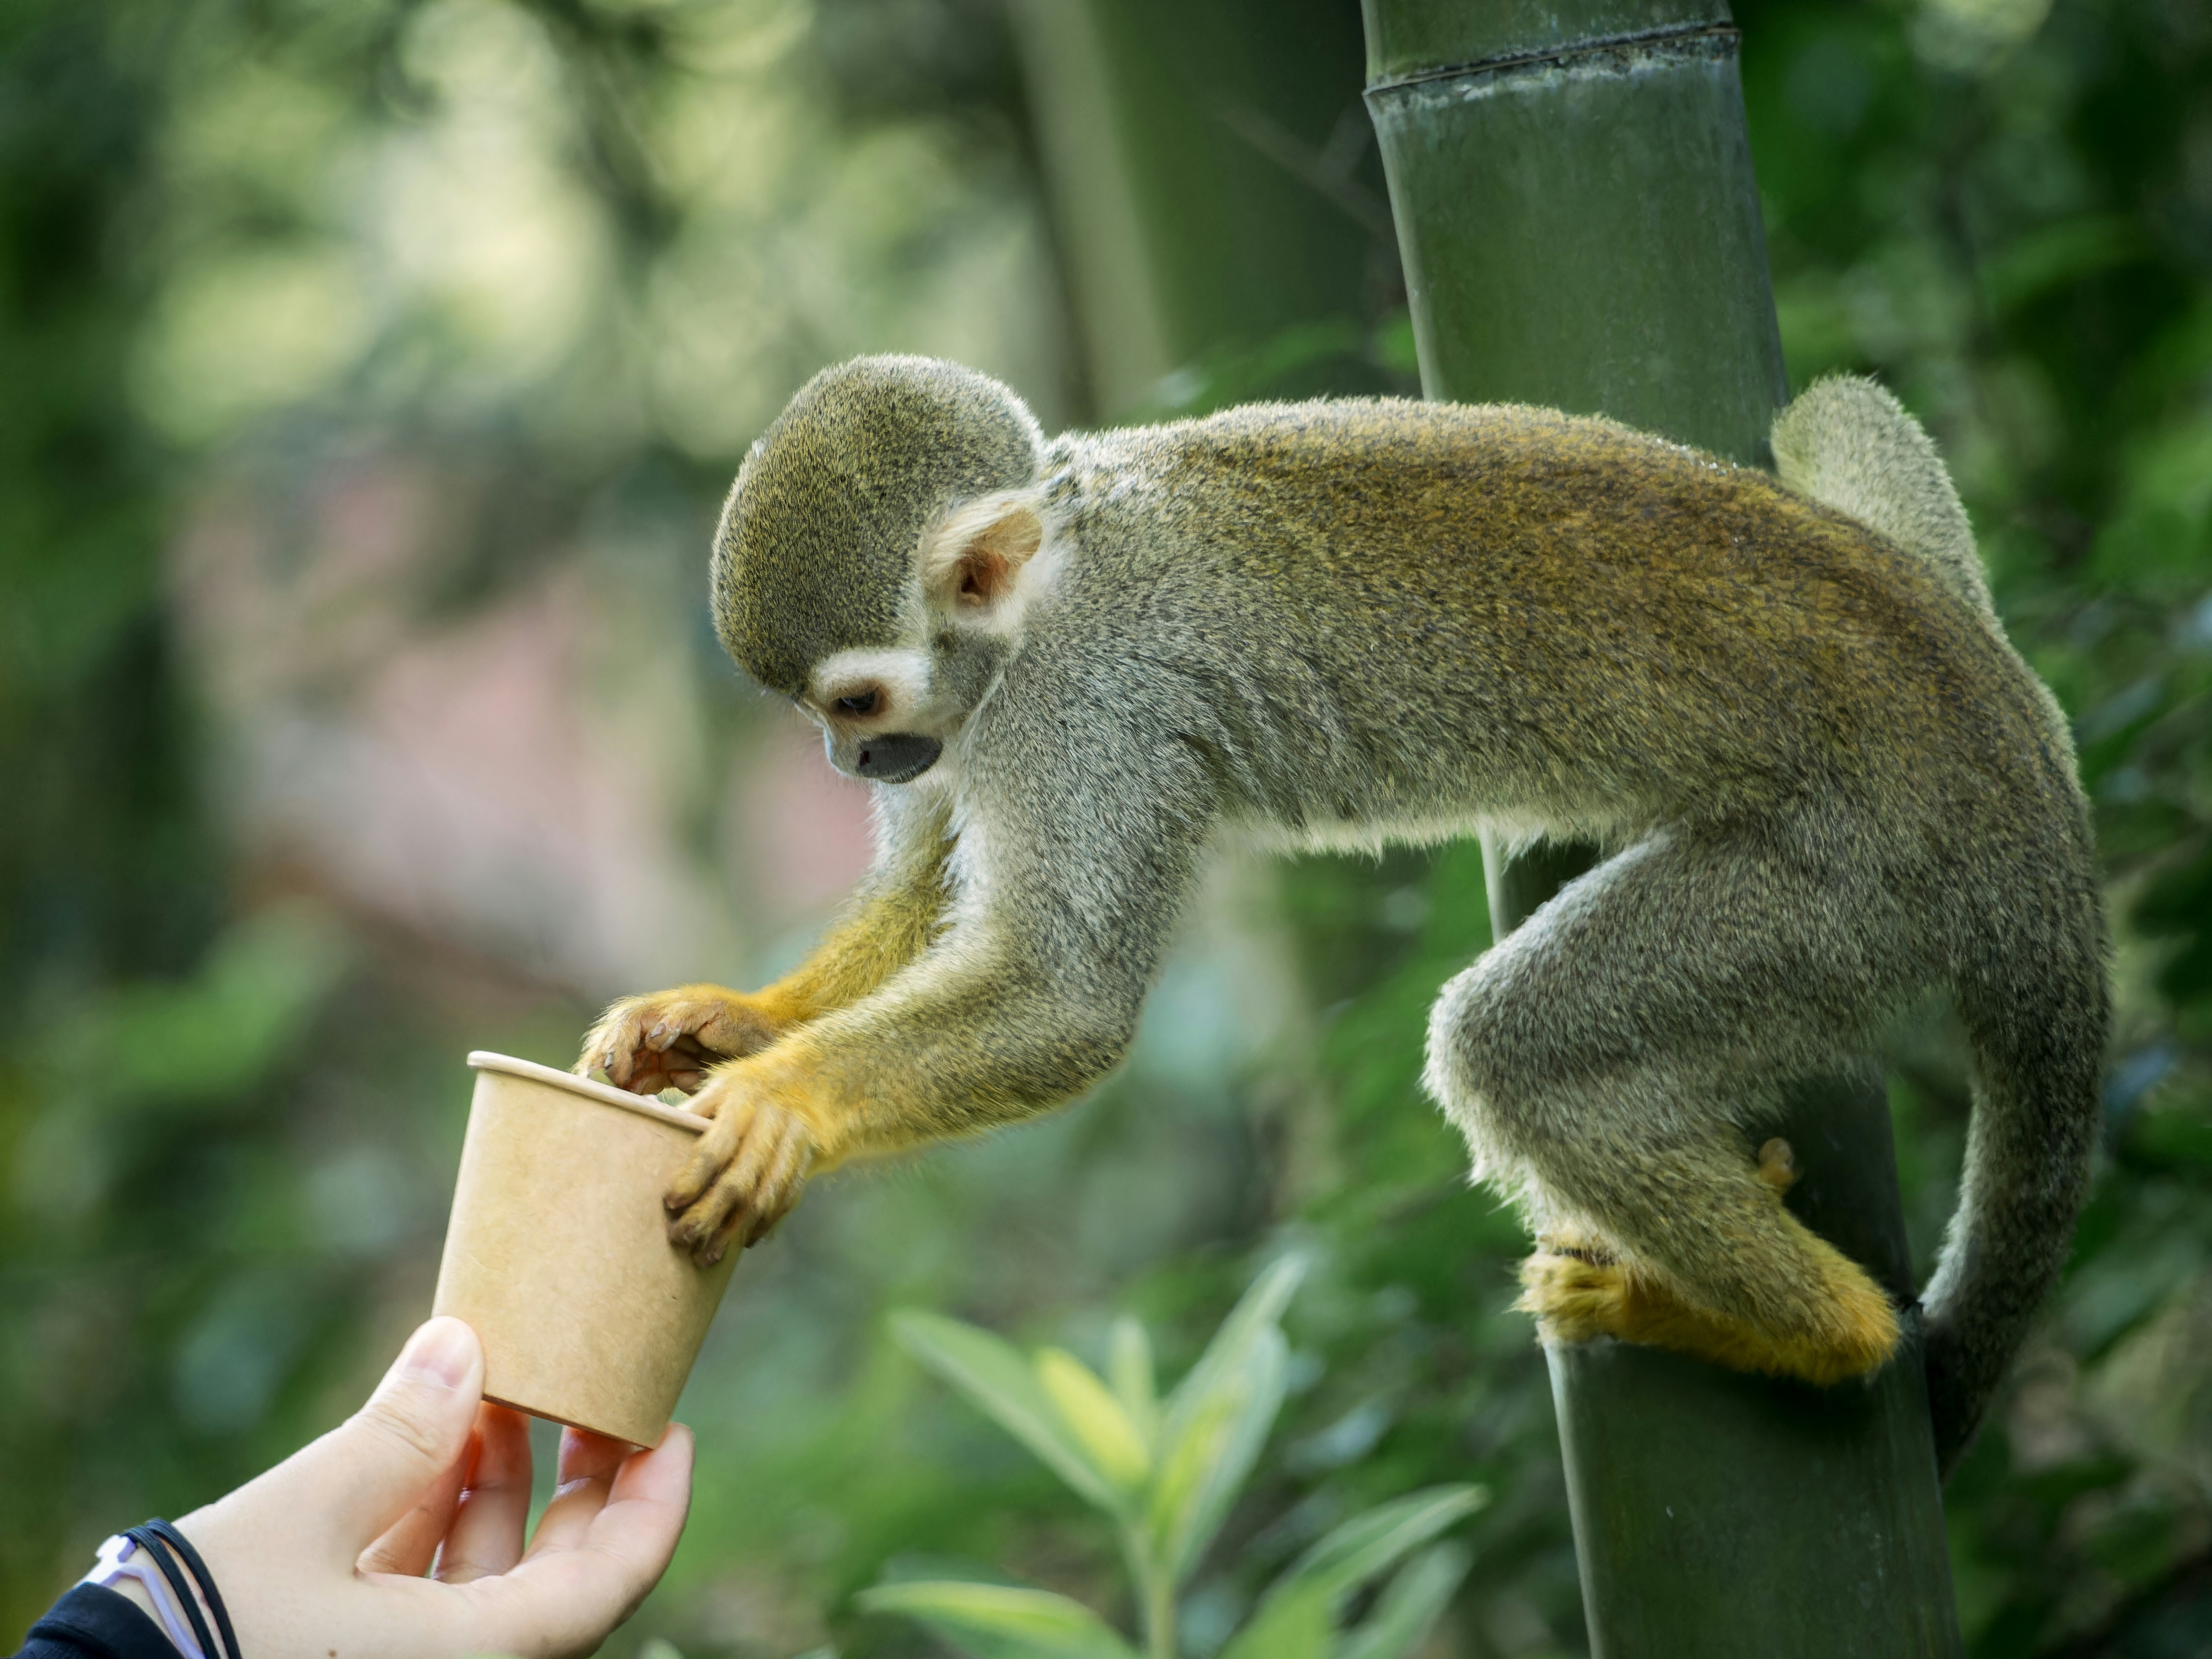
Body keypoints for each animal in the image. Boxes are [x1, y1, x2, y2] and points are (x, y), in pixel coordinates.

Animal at [578, 355, 2106, 1472]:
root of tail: (2027, 791)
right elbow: (929, 887)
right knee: (1833, 405)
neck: (1058, 573)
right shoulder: (987, 716)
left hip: (1853, 884)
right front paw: (730, 1021)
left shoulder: (1082, 704)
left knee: (1516, 1048)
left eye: (853, 703)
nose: (855, 766)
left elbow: (1062, 998)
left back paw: (1817, 1336)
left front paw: (785, 1102)